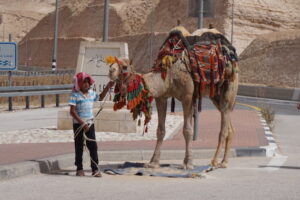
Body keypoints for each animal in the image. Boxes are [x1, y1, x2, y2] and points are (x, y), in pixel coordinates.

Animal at [108, 26, 239, 168]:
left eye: (124, 66)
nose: (110, 70)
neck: (167, 73)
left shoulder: (187, 96)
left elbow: (187, 130)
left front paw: (188, 163)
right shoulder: (161, 97)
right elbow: (160, 131)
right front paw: (153, 162)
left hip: (230, 86)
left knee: (224, 122)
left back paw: (215, 161)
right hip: (215, 94)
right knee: (227, 120)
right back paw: (224, 161)